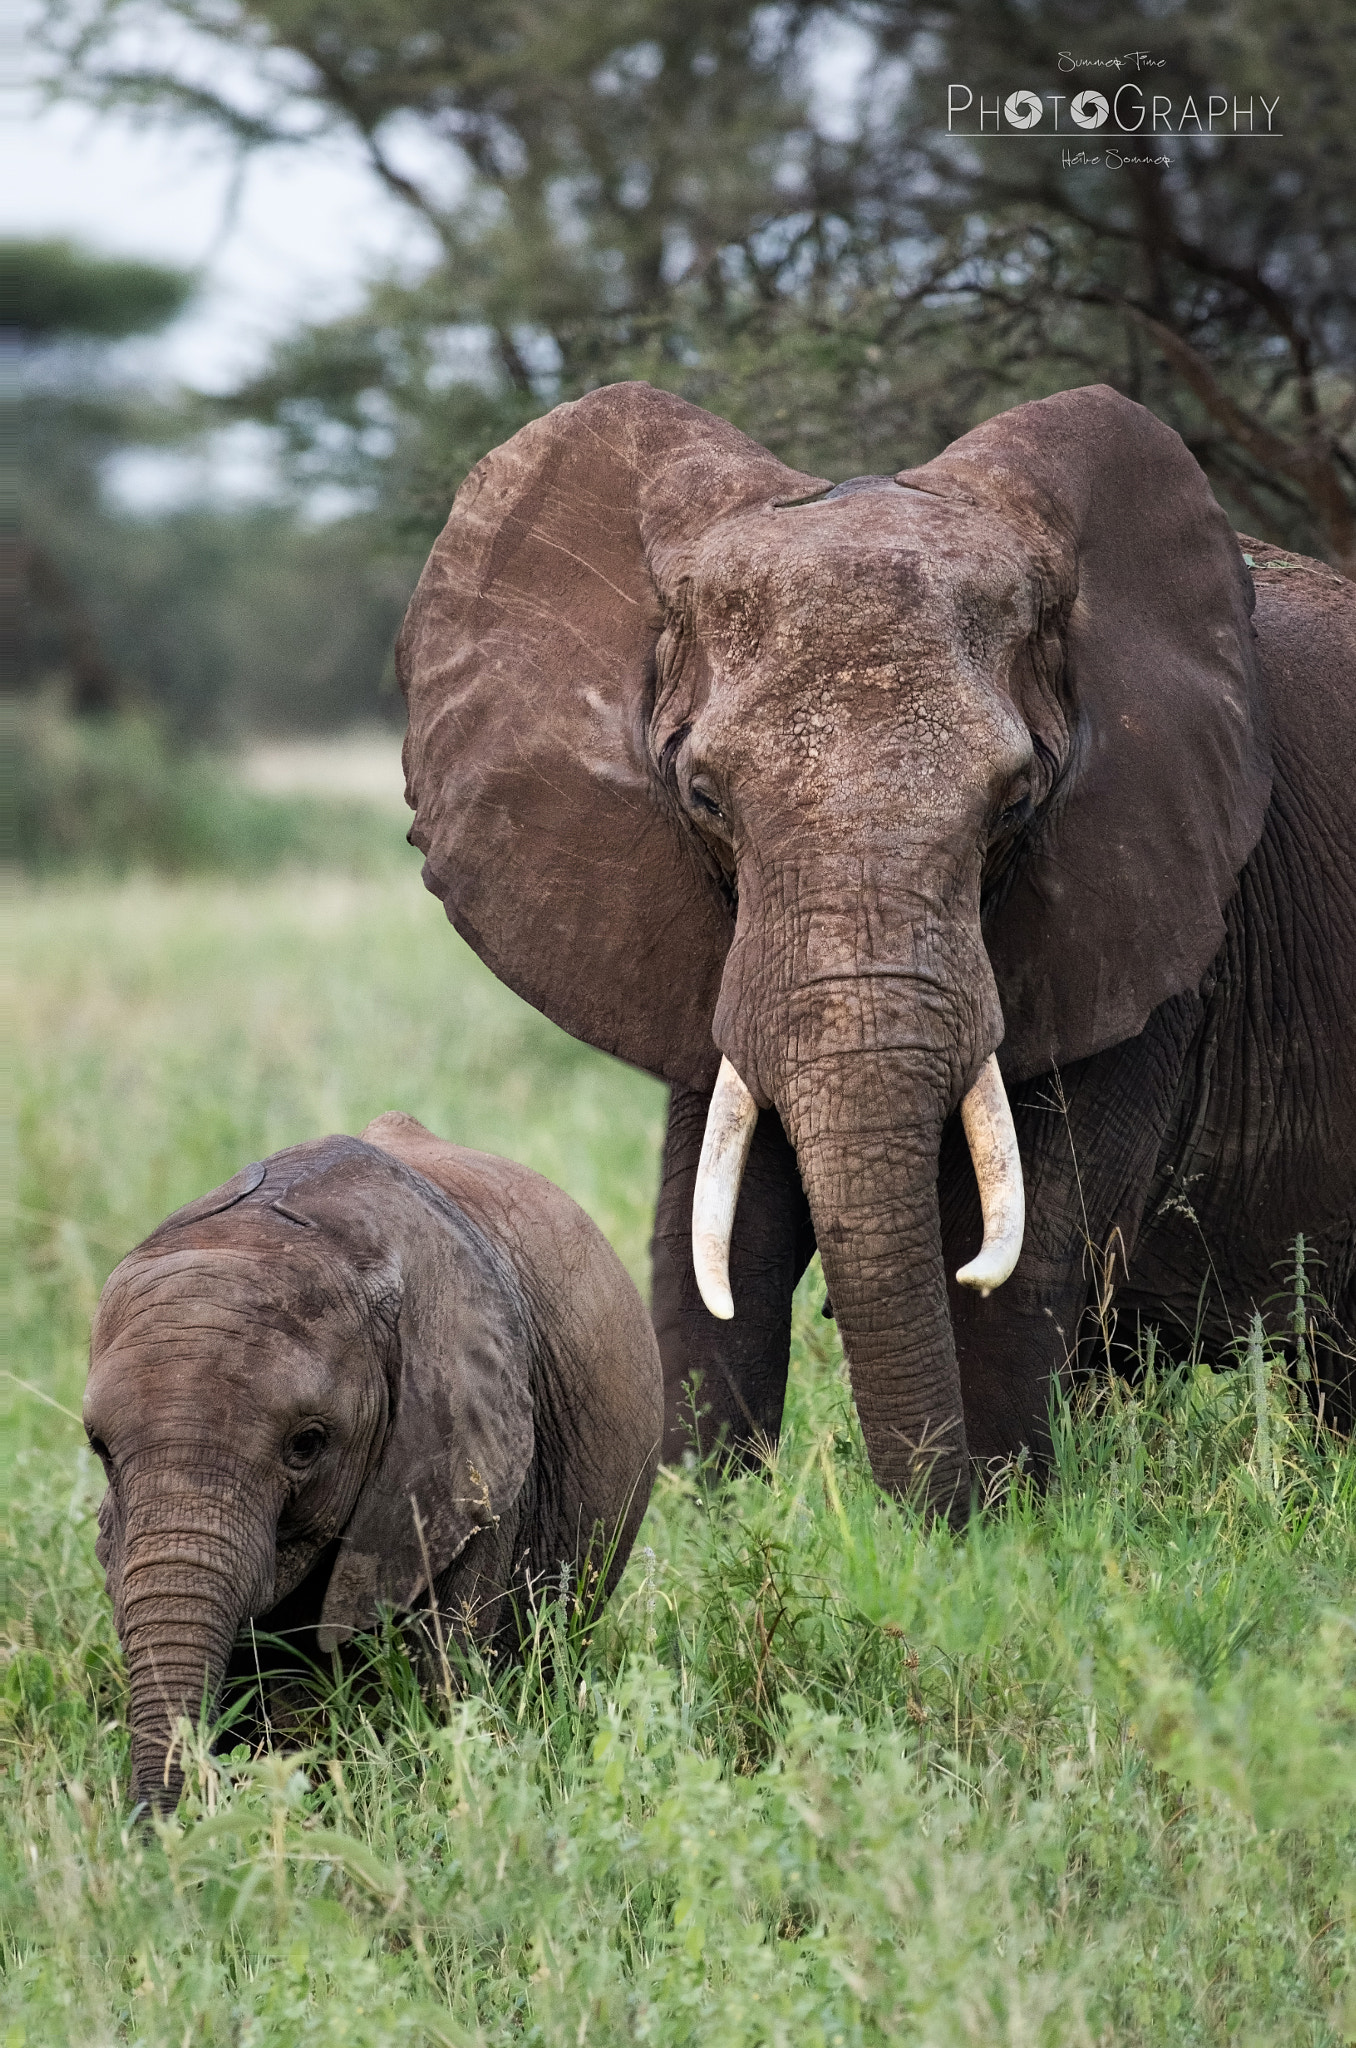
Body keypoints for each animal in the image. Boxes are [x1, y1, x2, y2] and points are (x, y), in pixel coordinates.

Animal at [399, 385, 1351, 1515]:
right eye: (704, 798)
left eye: (1016, 803)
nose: (927, 1516)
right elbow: (720, 1224)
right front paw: (715, 1511)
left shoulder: (1164, 901)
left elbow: (1028, 1231)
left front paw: (989, 1525)